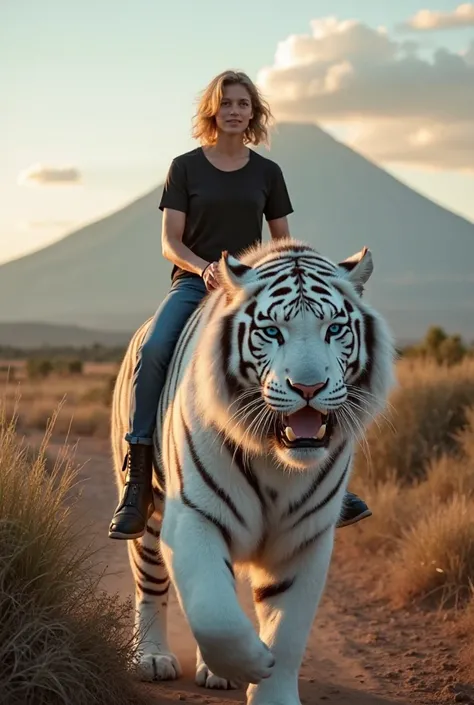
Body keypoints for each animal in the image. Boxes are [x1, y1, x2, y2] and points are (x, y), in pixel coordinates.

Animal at [112, 238, 396, 704]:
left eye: (334, 329)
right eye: (272, 332)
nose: (309, 388)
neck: (279, 460)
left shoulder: (305, 537)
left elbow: (288, 630)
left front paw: (267, 682)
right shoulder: (193, 517)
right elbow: (214, 613)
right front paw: (251, 662)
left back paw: (215, 672)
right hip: (149, 518)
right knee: (151, 585)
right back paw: (152, 658)